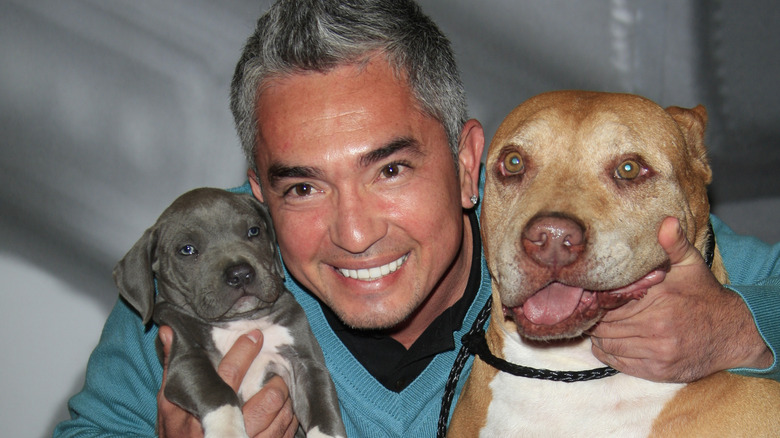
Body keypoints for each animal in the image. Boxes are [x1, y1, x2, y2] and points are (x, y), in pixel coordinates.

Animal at [115, 187, 344, 438]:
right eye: (187, 250)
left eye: (253, 231)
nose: (240, 273)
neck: (240, 322)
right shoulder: (185, 361)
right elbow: (218, 391)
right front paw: (228, 430)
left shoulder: (307, 364)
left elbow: (322, 410)